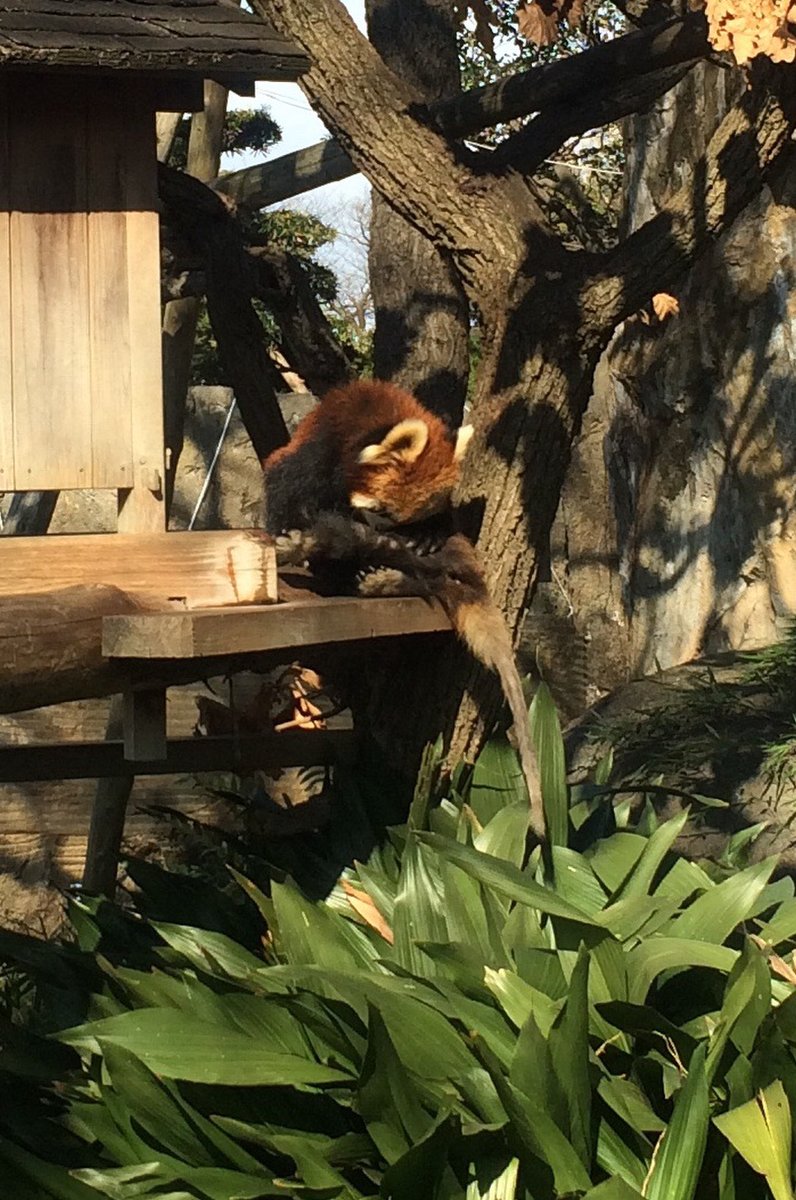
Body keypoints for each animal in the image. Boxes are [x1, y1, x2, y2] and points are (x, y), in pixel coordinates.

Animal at [261, 379, 547, 840]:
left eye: (407, 519)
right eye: (379, 510)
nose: (386, 537)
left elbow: (438, 524)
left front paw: (420, 538)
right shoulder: (317, 449)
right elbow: (288, 488)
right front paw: (293, 535)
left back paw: (386, 577)